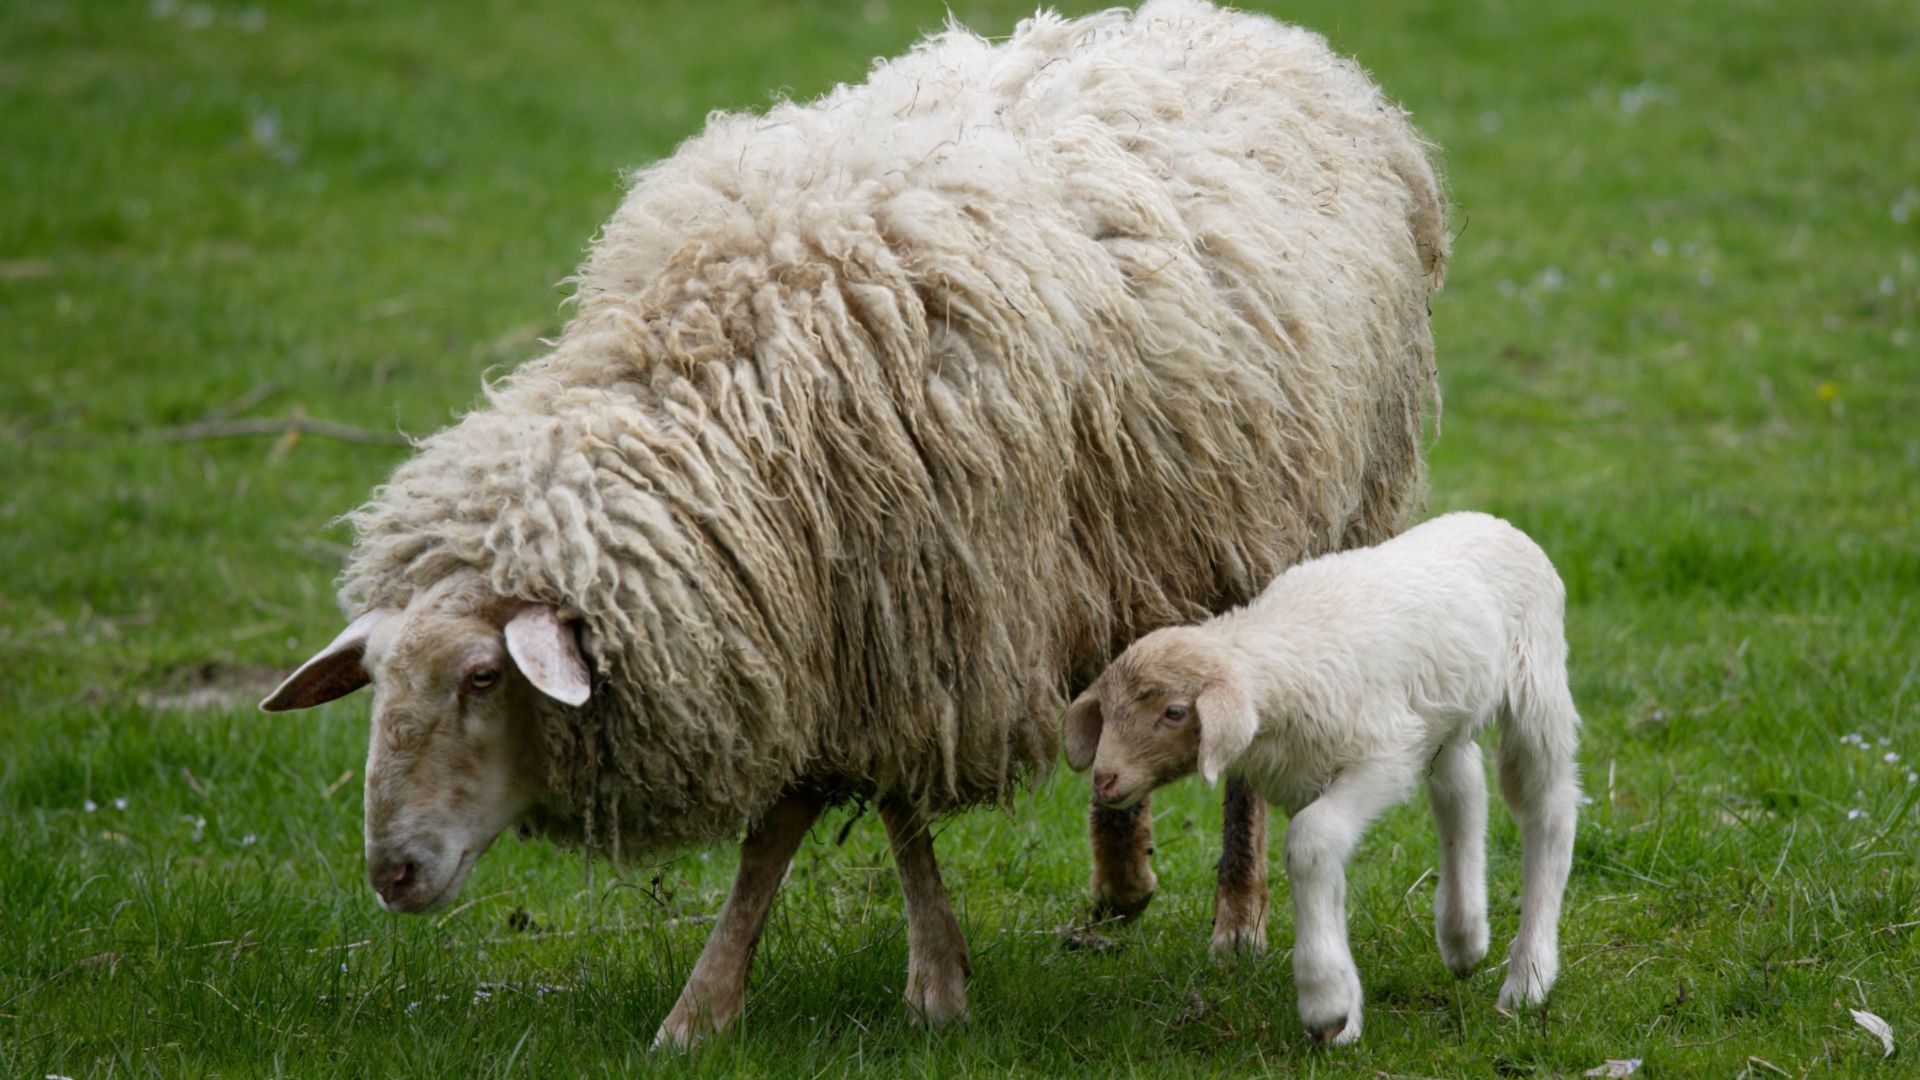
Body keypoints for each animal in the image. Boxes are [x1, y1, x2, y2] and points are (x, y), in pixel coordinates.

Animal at [263, 0, 1443, 1045]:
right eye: (380, 681)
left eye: (480, 678)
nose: (391, 874)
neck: (723, 386)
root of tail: (1262, 30)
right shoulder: (860, 626)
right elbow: (883, 812)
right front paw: (921, 974)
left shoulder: (906, 620)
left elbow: (784, 827)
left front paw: (717, 1007)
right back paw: (1120, 873)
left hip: (1314, 506)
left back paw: (1235, 911)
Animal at [1067, 511, 1574, 1045]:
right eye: (1108, 712)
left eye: (1174, 712)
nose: (1105, 780)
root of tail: (1493, 521)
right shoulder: (1308, 777)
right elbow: (1323, 866)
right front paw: (1343, 1013)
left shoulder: (1383, 755)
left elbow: (1311, 841)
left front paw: (1324, 999)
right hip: (1441, 713)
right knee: (1463, 787)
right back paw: (1464, 937)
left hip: (1534, 687)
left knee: (1549, 810)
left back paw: (1529, 977)